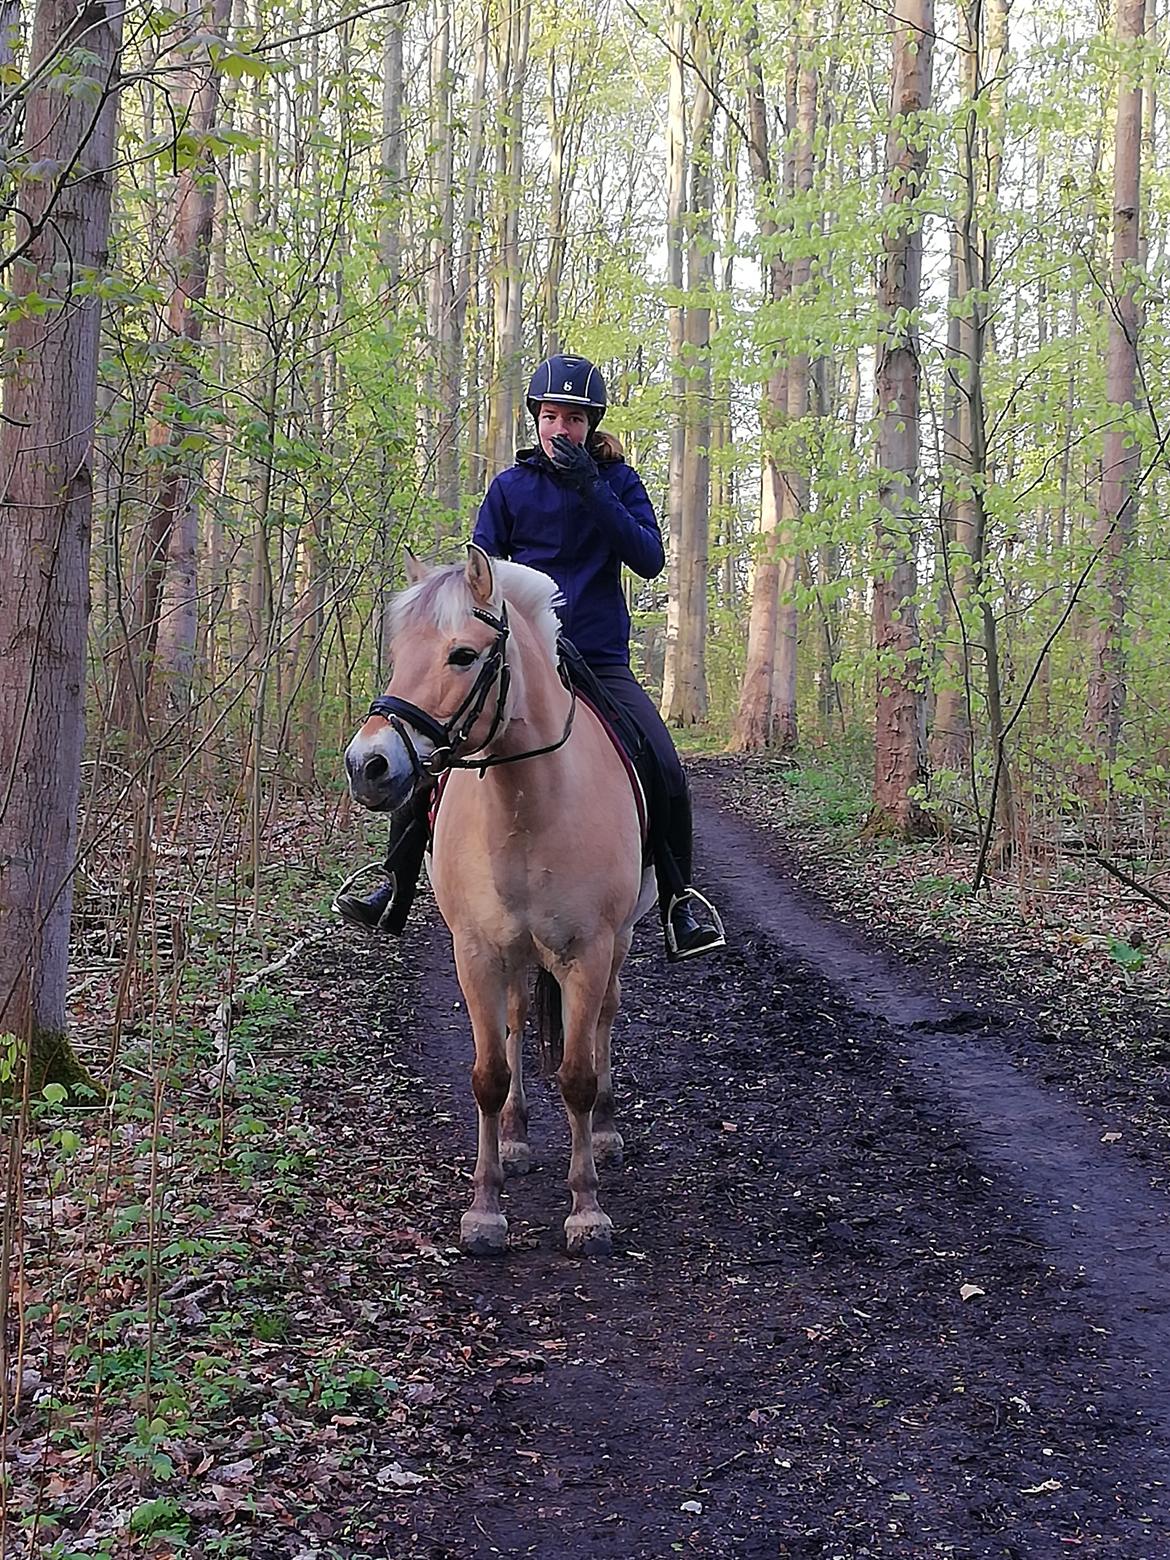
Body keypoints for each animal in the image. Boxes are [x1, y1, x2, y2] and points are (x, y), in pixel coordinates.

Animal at [347, 549, 661, 1254]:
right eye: (398, 650)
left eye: (463, 655)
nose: (367, 766)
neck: (527, 802)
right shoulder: (478, 952)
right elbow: (488, 1074)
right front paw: (485, 1210)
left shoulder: (587, 951)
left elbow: (577, 1075)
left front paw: (586, 1210)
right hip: (517, 954)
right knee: (518, 1018)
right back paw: (516, 1136)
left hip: (618, 944)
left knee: (604, 1022)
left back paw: (604, 1129)